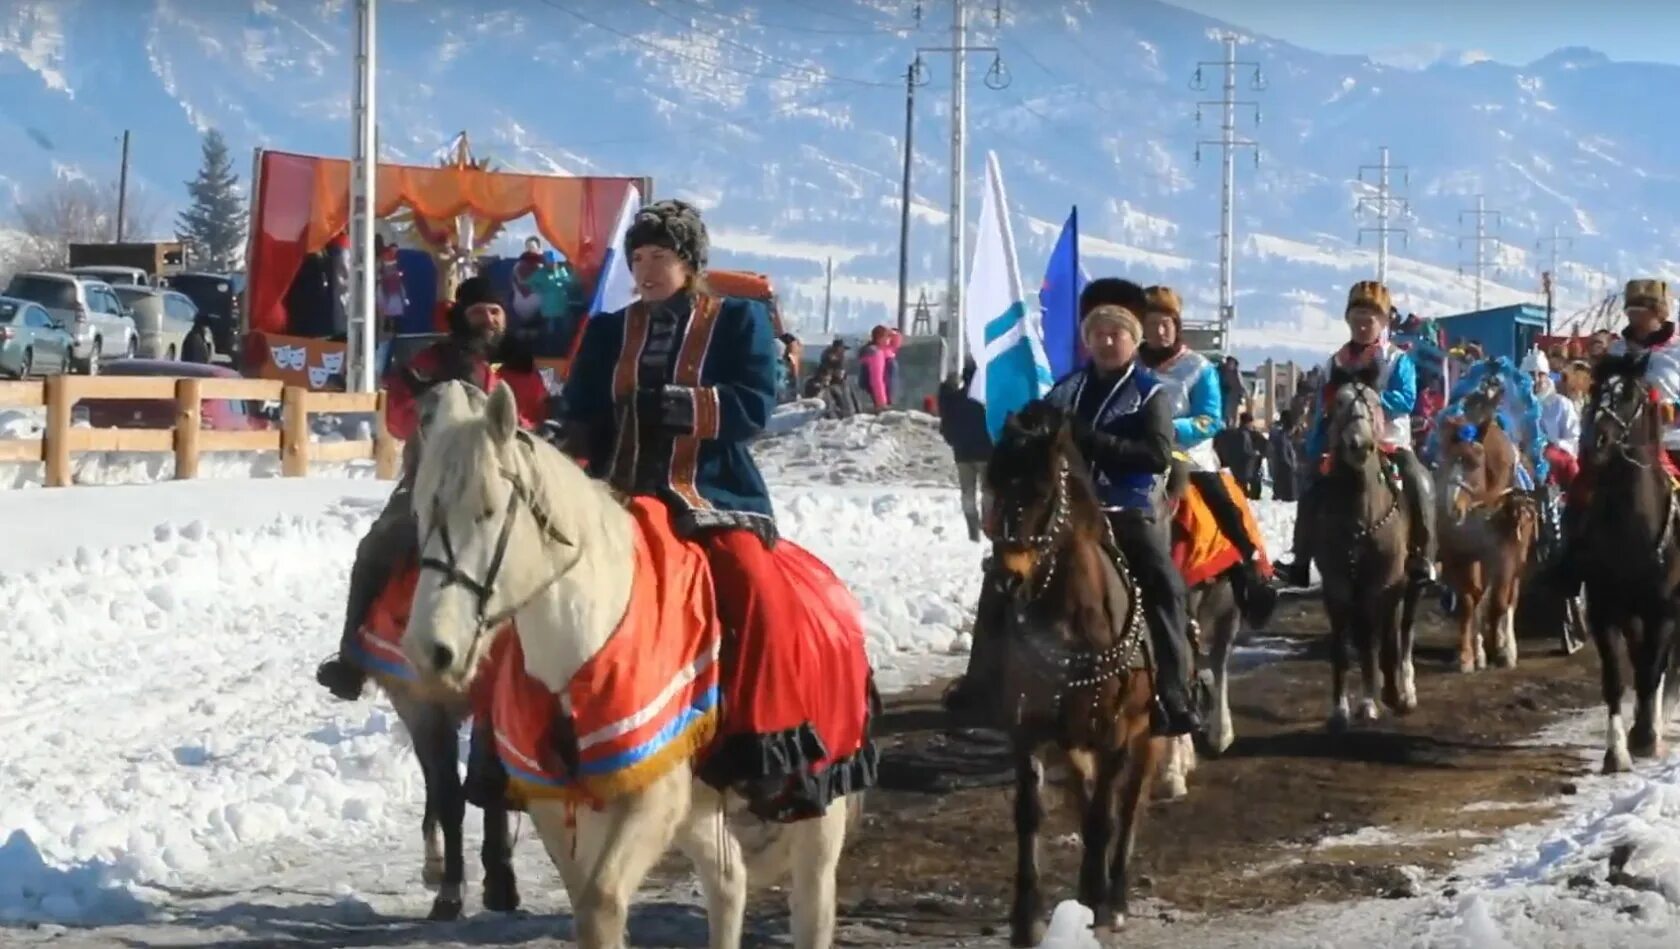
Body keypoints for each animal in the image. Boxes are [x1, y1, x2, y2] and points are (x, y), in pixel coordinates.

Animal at [398, 379, 853, 947]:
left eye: (487, 510)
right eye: (419, 513)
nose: (429, 649)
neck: (580, 647)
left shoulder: (649, 798)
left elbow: (601, 905)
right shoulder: (558, 804)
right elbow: (586, 902)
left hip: (818, 805)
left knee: (811, 899)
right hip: (697, 810)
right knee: (728, 884)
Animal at [981, 401, 1169, 947]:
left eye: (1043, 492)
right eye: (994, 485)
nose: (1005, 578)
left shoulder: (1116, 731)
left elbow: (1106, 817)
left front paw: (1096, 905)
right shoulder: (1028, 726)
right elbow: (1031, 813)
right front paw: (1026, 918)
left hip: (1148, 733)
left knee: (1128, 806)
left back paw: (1115, 893)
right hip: (1072, 737)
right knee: (1085, 796)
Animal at [1572, 351, 1680, 772]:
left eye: (1629, 394)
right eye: (1596, 390)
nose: (1595, 442)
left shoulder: (1663, 610)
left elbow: (1651, 670)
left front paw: (1646, 737)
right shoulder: (1605, 611)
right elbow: (1616, 678)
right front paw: (1616, 751)